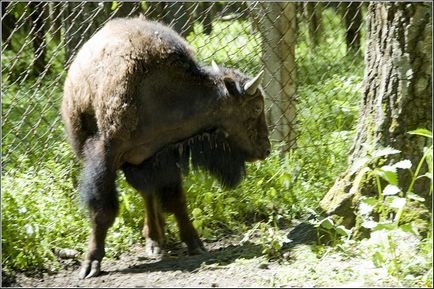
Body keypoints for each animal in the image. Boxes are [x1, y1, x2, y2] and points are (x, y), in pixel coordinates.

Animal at [61, 16, 270, 278]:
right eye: (256, 107)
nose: (266, 149)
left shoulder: (165, 155)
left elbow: (176, 200)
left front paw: (195, 243)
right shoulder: (105, 157)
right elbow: (103, 211)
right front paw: (91, 263)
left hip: (141, 162)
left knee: (149, 194)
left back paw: (156, 241)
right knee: (146, 194)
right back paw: (154, 241)